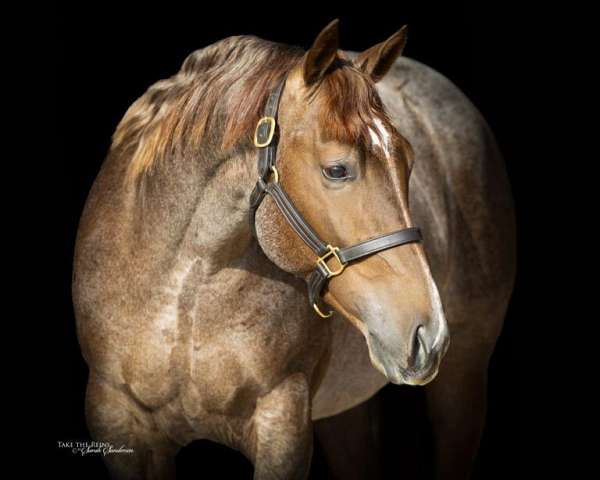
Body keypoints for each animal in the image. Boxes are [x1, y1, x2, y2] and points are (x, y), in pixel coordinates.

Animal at [72, 19, 516, 480]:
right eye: (336, 170)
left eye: (409, 161)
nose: (428, 332)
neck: (186, 291)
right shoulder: (120, 421)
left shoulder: (282, 424)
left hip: (464, 378)